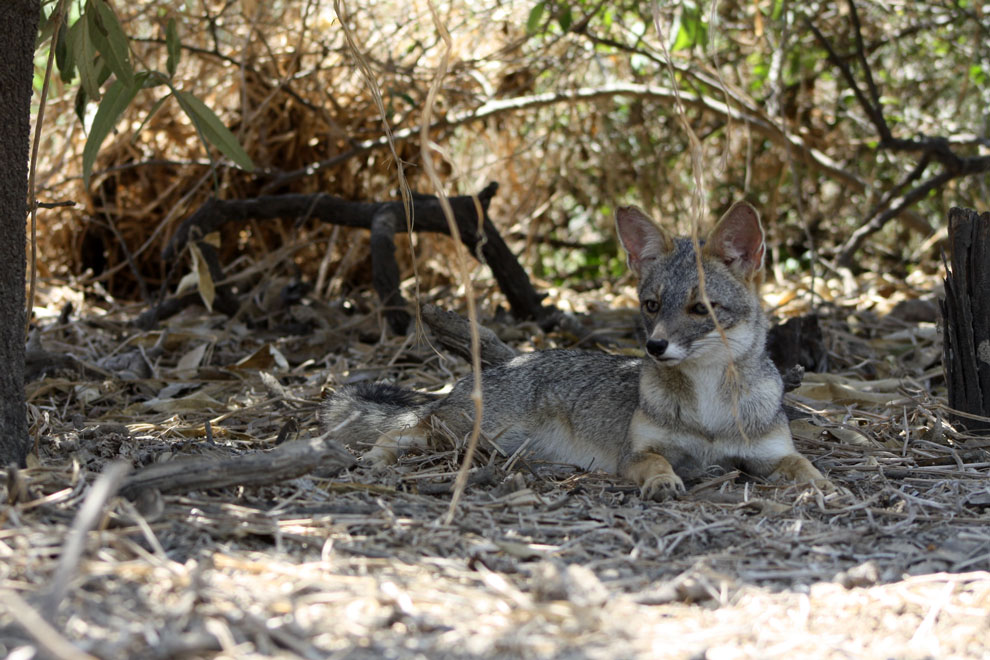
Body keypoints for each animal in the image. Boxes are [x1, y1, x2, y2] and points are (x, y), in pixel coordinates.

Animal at [321, 202, 828, 499]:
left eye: (701, 308)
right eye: (651, 305)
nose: (655, 346)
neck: (708, 412)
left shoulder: (768, 453)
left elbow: (803, 463)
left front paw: (823, 484)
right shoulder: (634, 455)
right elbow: (658, 461)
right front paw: (664, 480)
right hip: (462, 433)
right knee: (403, 429)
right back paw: (375, 460)